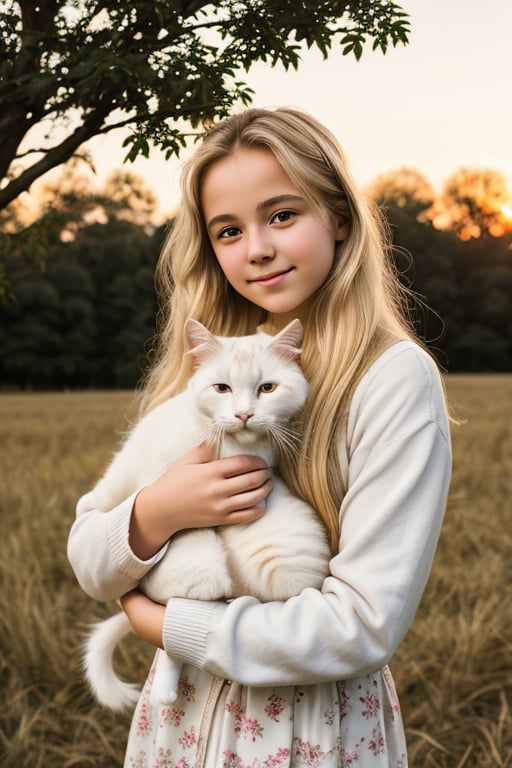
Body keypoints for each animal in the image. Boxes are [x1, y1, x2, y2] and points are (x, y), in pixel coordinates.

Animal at [80, 316, 328, 708]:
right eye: (222, 388)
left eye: (267, 388)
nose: (244, 414)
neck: (230, 449)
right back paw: (165, 691)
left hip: (283, 560)